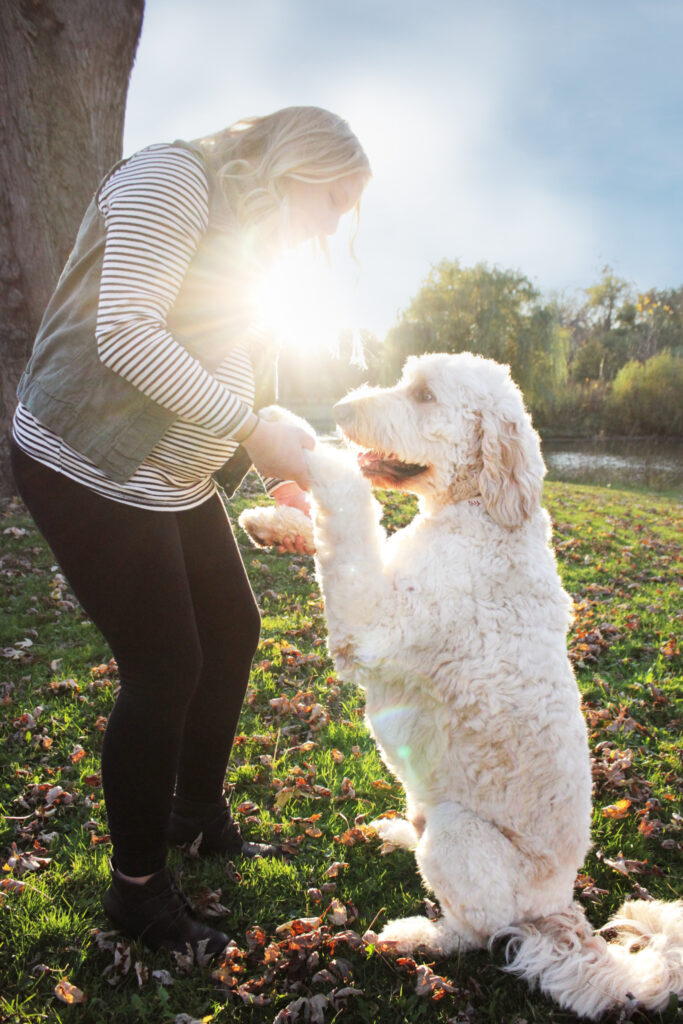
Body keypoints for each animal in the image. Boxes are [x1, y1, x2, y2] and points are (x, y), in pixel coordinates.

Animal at [242, 354, 683, 1024]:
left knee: (474, 933)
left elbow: (348, 503)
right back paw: (399, 832)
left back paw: (418, 935)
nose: (339, 410)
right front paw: (274, 522)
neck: (481, 514)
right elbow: (333, 529)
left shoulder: (371, 623)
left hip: (459, 836)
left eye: (424, 396)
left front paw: (304, 442)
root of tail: (559, 910)